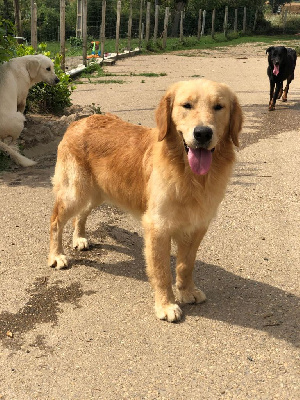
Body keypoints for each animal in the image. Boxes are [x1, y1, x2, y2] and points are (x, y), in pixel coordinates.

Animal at [48, 79, 243, 322]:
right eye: (186, 105)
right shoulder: (158, 227)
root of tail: (78, 122)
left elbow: (185, 265)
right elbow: (162, 272)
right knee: (56, 220)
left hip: (96, 192)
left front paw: (187, 291)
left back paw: (80, 238)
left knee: (80, 215)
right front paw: (166, 305)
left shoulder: (197, 226)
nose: (203, 133)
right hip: (75, 191)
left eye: (219, 107)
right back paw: (57, 255)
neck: (189, 176)